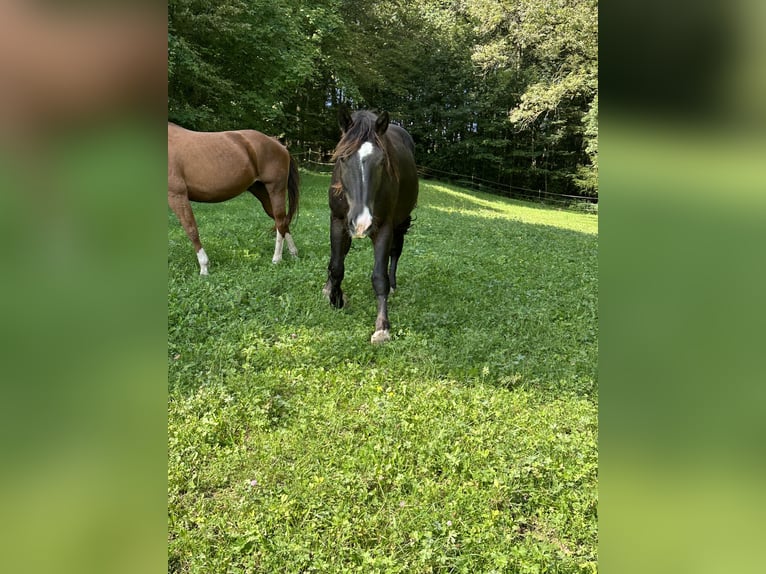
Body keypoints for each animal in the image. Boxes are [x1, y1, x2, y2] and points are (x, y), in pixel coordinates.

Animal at [170, 122, 302, 276]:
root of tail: (278, 144)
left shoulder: (177, 195)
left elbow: (191, 229)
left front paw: (204, 268)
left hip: (276, 189)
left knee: (280, 220)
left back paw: (277, 259)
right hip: (261, 191)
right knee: (282, 220)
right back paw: (294, 254)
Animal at [324, 108, 420, 344]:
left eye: (382, 161)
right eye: (343, 158)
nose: (362, 222)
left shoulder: (383, 227)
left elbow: (379, 276)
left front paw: (382, 327)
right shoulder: (338, 221)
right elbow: (337, 265)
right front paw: (335, 298)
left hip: (399, 224)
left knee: (395, 253)